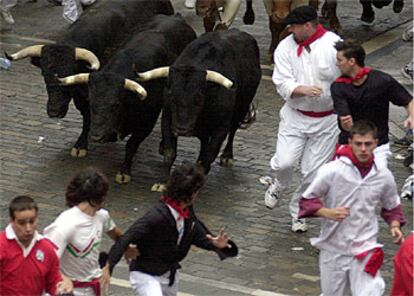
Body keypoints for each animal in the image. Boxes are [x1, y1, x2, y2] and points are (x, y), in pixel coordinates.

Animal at [139, 27, 262, 185]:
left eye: (198, 99)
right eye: (171, 96)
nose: (182, 129)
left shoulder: (222, 125)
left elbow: (209, 154)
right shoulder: (167, 117)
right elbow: (170, 151)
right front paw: (162, 183)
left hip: (242, 108)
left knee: (233, 129)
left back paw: (227, 156)